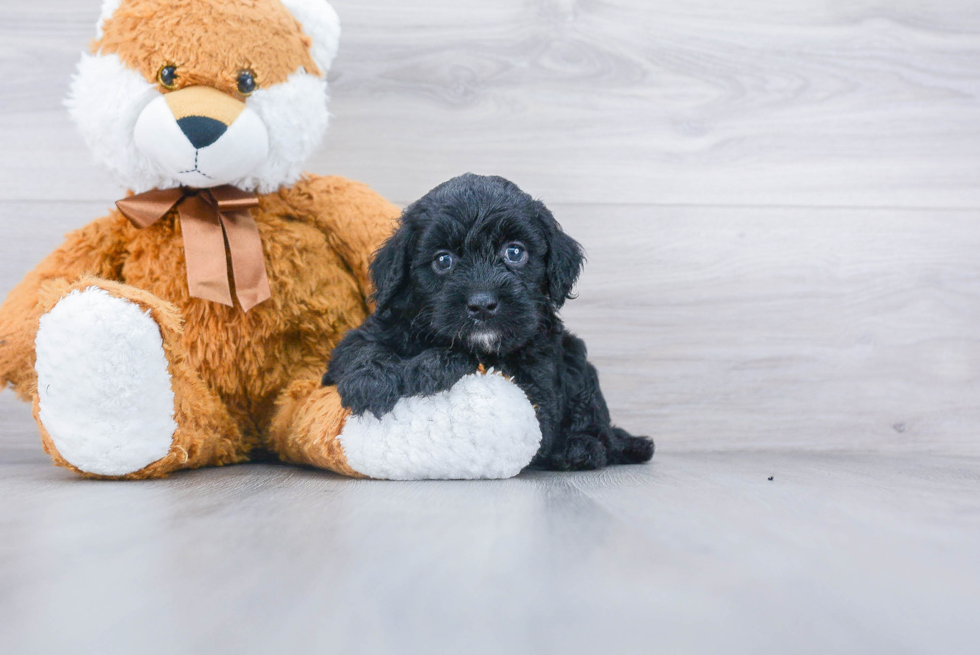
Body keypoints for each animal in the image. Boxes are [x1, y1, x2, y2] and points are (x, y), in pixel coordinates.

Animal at [324, 174, 652, 472]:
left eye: (514, 252)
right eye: (443, 260)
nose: (482, 304)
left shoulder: (537, 378)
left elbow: (486, 365)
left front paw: (432, 366)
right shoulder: (378, 327)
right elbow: (361, 348)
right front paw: (372, 382)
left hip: (574, 358)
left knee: (597, 421)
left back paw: (581, 448)